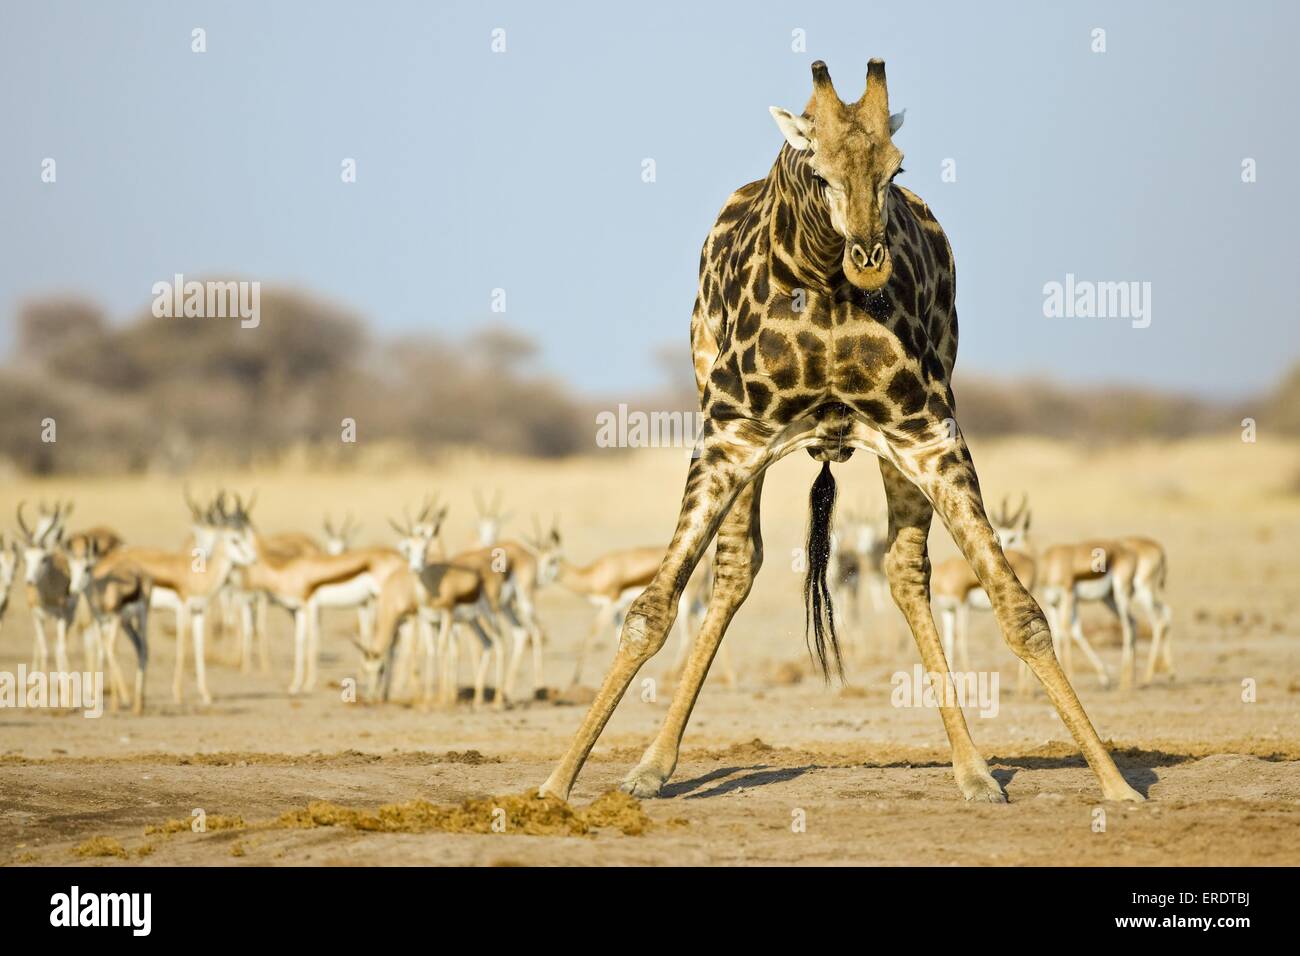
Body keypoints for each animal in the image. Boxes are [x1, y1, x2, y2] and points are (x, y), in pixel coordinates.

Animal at [543, 61, 1144, 806]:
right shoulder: (731, 436)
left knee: (905, 572)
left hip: (902, 442)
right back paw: (651, 765)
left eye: (895, 167)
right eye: (820, 171)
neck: (823, 291)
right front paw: (556, 785)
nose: (868, 257)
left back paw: (973, 770)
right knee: (736, 567)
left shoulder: (928, 433)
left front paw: (1116, 784)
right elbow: (651, 609)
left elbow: (1021, 610)